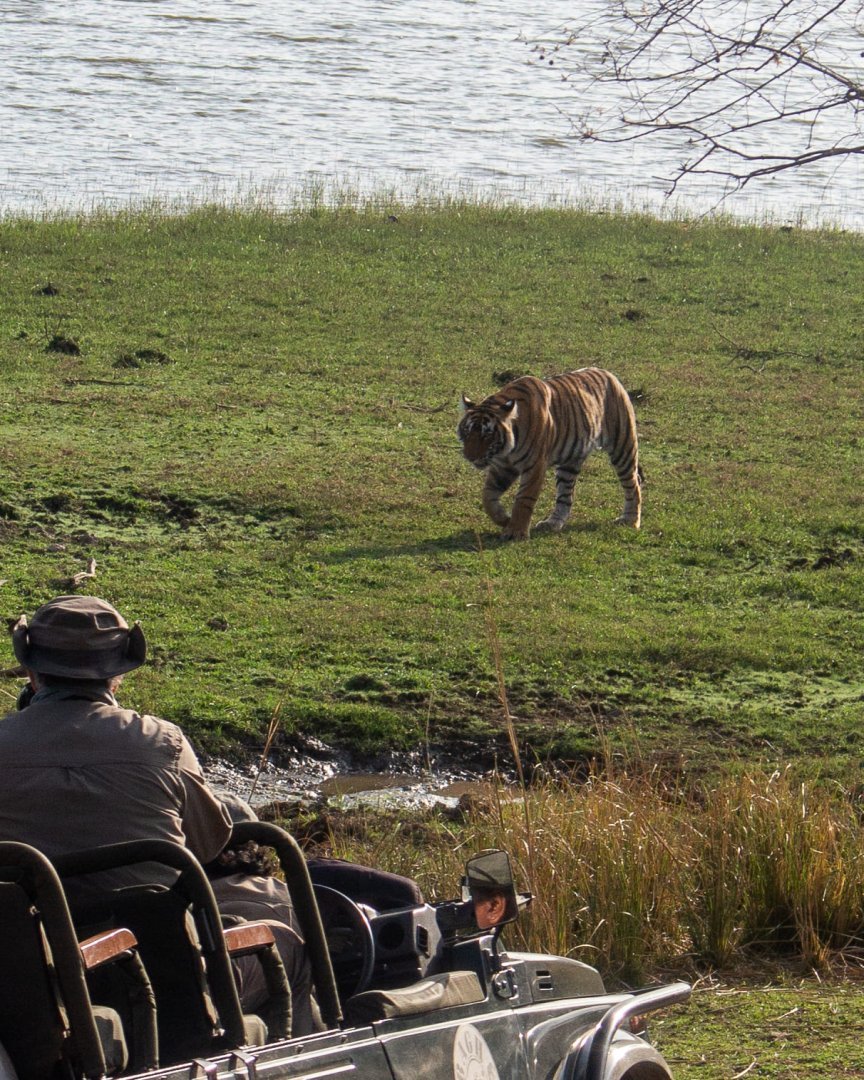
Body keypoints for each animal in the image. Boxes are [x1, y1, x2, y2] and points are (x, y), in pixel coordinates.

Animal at [457, 367, 641, 540]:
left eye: (487, 434)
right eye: (467, 431)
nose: (469, 456)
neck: (505, 450)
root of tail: (608, 374)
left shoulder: (534, 466)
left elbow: (524, 499)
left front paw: (515, 532)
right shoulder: (502, 467)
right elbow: (487, 497)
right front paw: (504, 519)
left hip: (622, 447)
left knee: (633, 484)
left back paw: (630, 520)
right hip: (569, 462)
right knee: (565, 496)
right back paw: (552, 523)